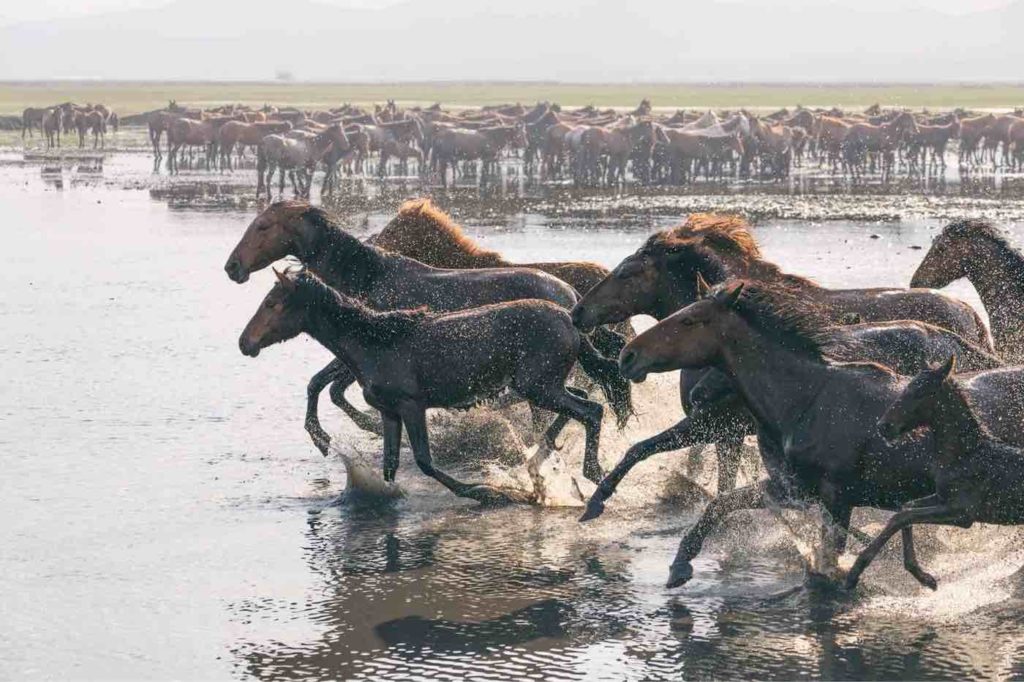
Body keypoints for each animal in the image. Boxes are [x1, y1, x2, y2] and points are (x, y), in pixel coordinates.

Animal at [239, 268, 606, 497]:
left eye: (271, 303)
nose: (245, 343)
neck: (374, 343)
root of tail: (569, 320)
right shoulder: (389, 411)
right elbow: (390, 465)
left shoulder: (411, 406)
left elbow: (425, 462)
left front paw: (488, 493)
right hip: (543, 386)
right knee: (581, 401)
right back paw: (545, 456)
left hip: (539, 388)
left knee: (593, 410)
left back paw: (591, 472)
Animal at [843, 356, 1024, 589]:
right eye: (907, 387)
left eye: (920, 392)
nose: (884, 426)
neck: (961, 457)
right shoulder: (942, 498)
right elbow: (907, 507)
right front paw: (924, 576)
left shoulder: (963, 513)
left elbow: (901, 517)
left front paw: (854, 573)